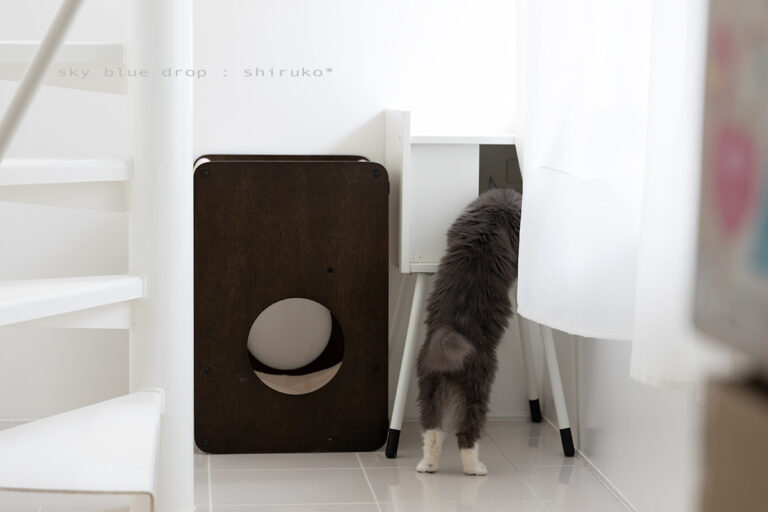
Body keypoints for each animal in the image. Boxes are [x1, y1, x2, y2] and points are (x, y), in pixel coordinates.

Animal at [415, 184, 522, 476]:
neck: (492, 220)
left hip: (429, 387)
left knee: (432, 430)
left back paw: (427, 466)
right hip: (478, 387)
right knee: (467, 433)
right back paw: (475, 468)